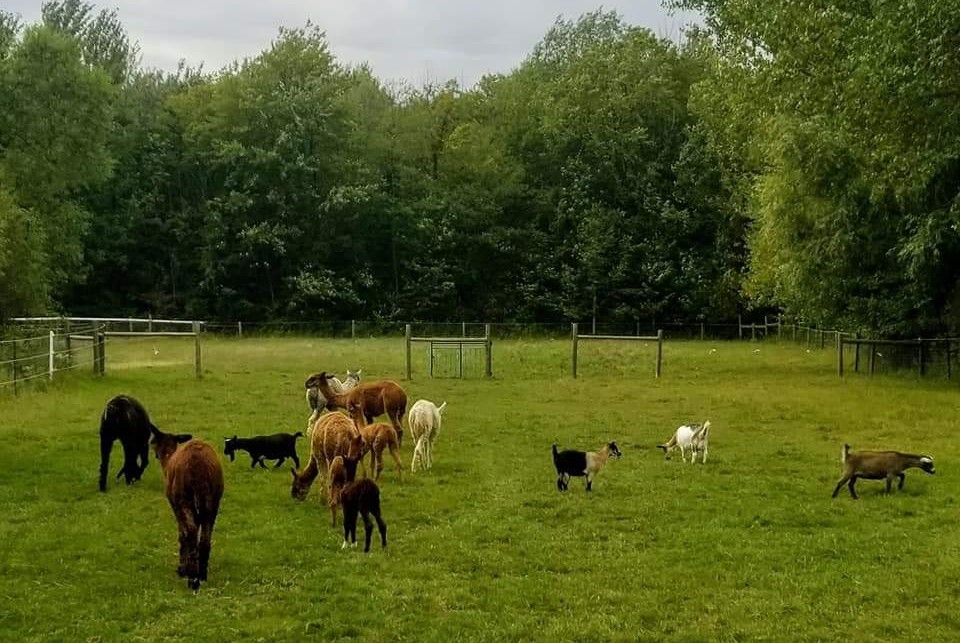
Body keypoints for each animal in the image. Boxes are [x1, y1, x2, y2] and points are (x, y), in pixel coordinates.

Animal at [150, 427, 223, 591]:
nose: (155, 453)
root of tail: (199, 464)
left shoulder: (175, 505)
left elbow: (182, 534)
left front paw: (182, 569)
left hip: (184, 499)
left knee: (191, 532)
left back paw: (192, 579)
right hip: (212, 501)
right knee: (205, 538)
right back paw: (202, 574)